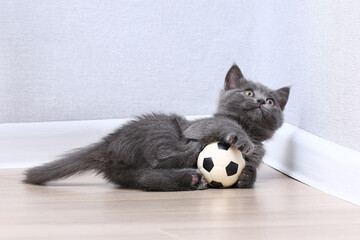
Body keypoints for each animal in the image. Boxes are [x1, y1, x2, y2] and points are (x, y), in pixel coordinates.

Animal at [24, 64, 290, 191]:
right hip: (162, 126)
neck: (252, 131)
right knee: (157, 157)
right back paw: (193, 155)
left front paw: (246, 177)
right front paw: (239, 137)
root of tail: (107, 146)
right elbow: (222, 124)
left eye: (271, 102)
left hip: (126, 173)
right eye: (248, 92)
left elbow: (249, 172)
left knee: (145, 175)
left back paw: (190, 179)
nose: (260, 102)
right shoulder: (201, 126)